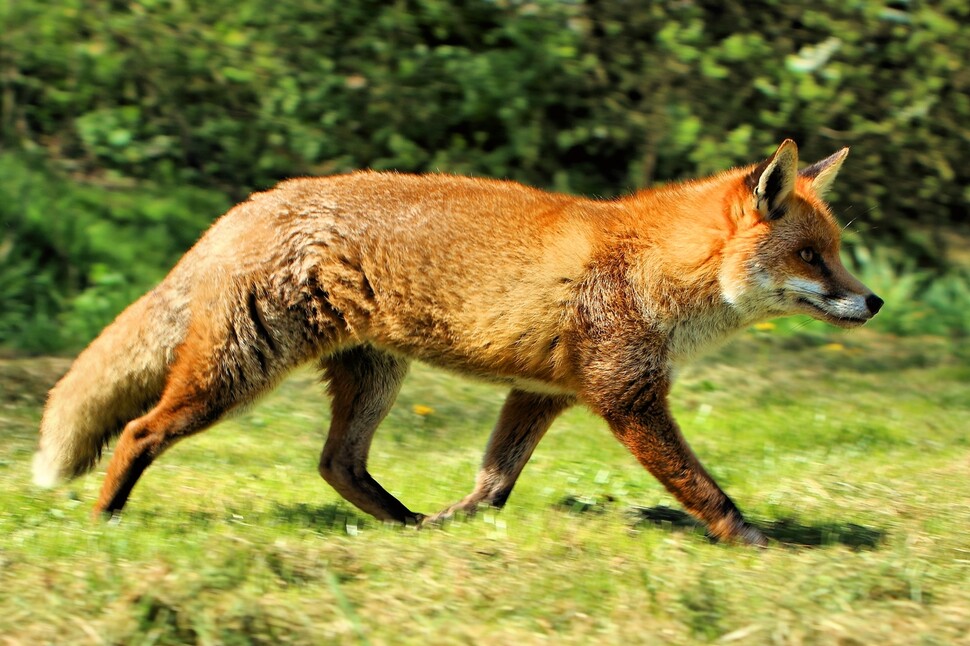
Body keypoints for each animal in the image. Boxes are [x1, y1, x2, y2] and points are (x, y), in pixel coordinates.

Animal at [32, 140, 876, 548]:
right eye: (811, 257)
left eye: (837, 253)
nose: (872, 301)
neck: (651, 265)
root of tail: (251, 204)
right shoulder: (626, 396)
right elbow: (703, 488)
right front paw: (753, 541)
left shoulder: (542, 394)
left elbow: (494, 482)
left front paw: (458, 526)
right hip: (240, 372)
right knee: (139, 431)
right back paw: (105, 521)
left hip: (375, 378)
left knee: (337, 464)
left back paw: (405, 526)